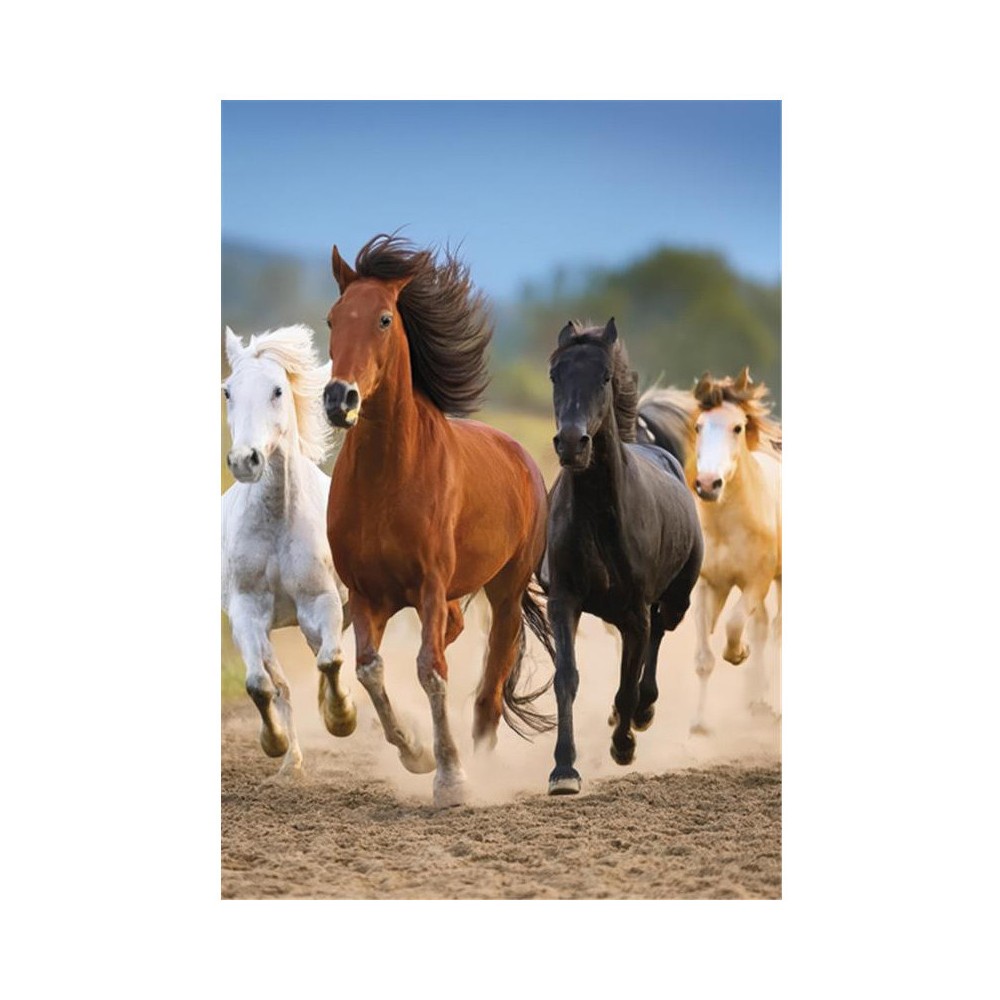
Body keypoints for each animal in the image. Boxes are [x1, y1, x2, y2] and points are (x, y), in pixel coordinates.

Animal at [222, 325, 356, 777]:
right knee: (278, 680)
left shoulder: (322, 602)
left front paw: (342, 717)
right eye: (227, 391)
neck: (279, 519)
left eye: (278, 390)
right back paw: (291, 762)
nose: (245, 460)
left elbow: (331, 661)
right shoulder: (246, 610)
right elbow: (260, 685)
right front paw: (275, 743)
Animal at [322, 234, 554, 808]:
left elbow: (432, 671)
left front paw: (451, 777)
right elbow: (371, 669)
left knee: (490, 689)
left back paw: (483, 764)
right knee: (456, 631)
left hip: (506, 592)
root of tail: (522, 455)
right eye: (333, 318)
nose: (339, 399)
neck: (388, 476)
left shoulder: (428, 585)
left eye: (384, 319)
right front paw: (414, 750)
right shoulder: (367, 592)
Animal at [544, 319, 703, 795]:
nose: (572, 443)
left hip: (673, 601)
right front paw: (564, 769)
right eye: (555, 375)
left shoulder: (636, 610)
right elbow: (567, 678)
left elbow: (629, 682)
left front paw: (623, 745)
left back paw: (641, 716)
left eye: (604, 377)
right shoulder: (564, 601)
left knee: (657, 638)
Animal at [637, 368, 782, 734]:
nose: (707, 484)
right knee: (763, 626)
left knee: (776, 630)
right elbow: (704, 658)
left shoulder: (756, 583)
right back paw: (756, 699)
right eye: (699, 426)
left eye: (738, 427)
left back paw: (771, 704)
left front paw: (739, 653)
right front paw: (700, 722)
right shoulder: (706, 585)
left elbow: (733, 624)